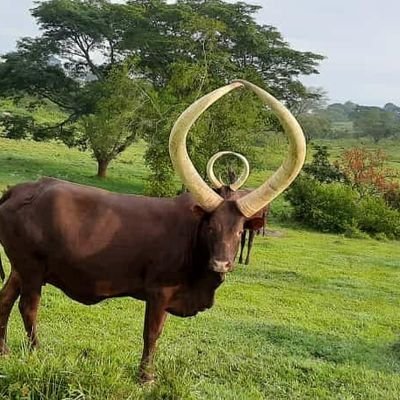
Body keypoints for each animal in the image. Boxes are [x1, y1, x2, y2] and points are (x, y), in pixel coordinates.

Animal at [0, 79, 306, 382]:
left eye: (240, 231)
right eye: (211, 227)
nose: (221, 264)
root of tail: (20, 190)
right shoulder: (159, 293)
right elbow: (152, 333)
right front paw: (146, 376)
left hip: (20, 268)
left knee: (5, 300)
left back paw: (4, 351)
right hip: (32, 269)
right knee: (28, 308)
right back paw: (36, 352)